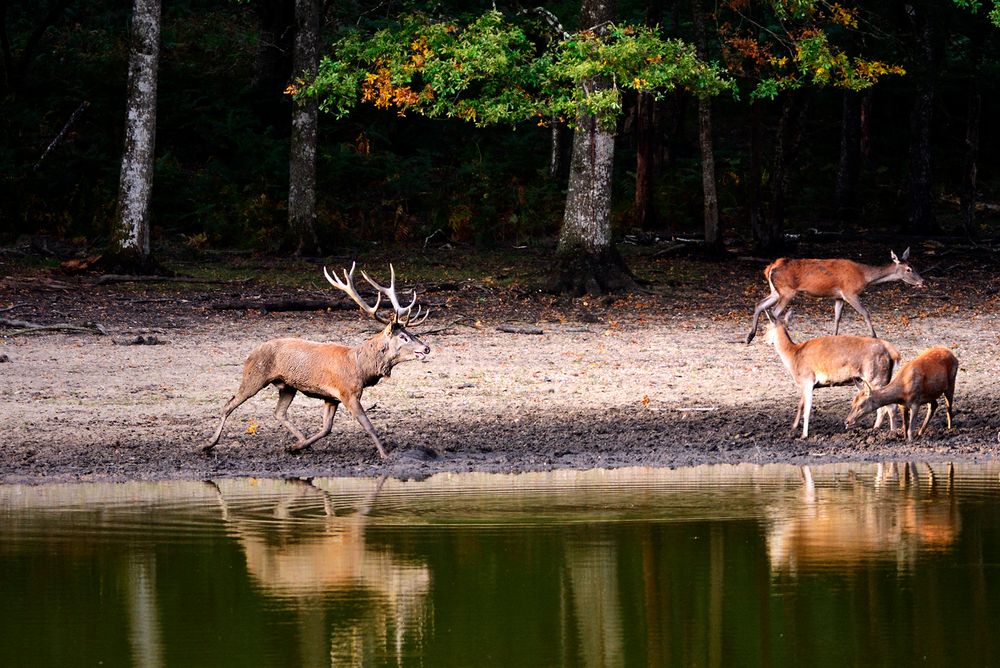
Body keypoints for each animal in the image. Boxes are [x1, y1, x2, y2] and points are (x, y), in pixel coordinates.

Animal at [205, 264, 432, 456]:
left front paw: (296, 446)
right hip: (254, 376)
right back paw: (208, 444)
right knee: (229, 404)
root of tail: (251, 352)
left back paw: (299, 443)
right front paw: (385, 454)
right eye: (403, 337)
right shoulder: (347, 392)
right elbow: (367, 424)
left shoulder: (331, 397)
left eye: (412, 333)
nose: (426, 348)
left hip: (287, 386)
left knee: (279, 412)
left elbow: (326, 428)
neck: (361, 368)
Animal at [748, 250, 924, 344]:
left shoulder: (838, 297)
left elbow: (837, 317)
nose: (922, 281)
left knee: (760, 304)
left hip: (775, 291)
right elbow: (865, 313)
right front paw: (874, 336)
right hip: (787, 291)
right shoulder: (850, 292)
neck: (865, 276)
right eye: (909, 269)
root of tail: (770, 267)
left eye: (914, 266)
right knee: (774, 312)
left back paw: (750, 336)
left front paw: (834, 336)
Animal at [764, 312, 900, 440]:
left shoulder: (807, 379)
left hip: (876, 379)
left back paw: (891, 433)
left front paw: (803, 435)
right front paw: (792, 429)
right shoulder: (805, 384)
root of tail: (894, 353)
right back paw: (875, 429)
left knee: (891, 406)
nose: (763, 339)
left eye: (766, 327)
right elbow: (800, 405)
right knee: (883, 406)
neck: (793, 357)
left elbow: (807, 409)